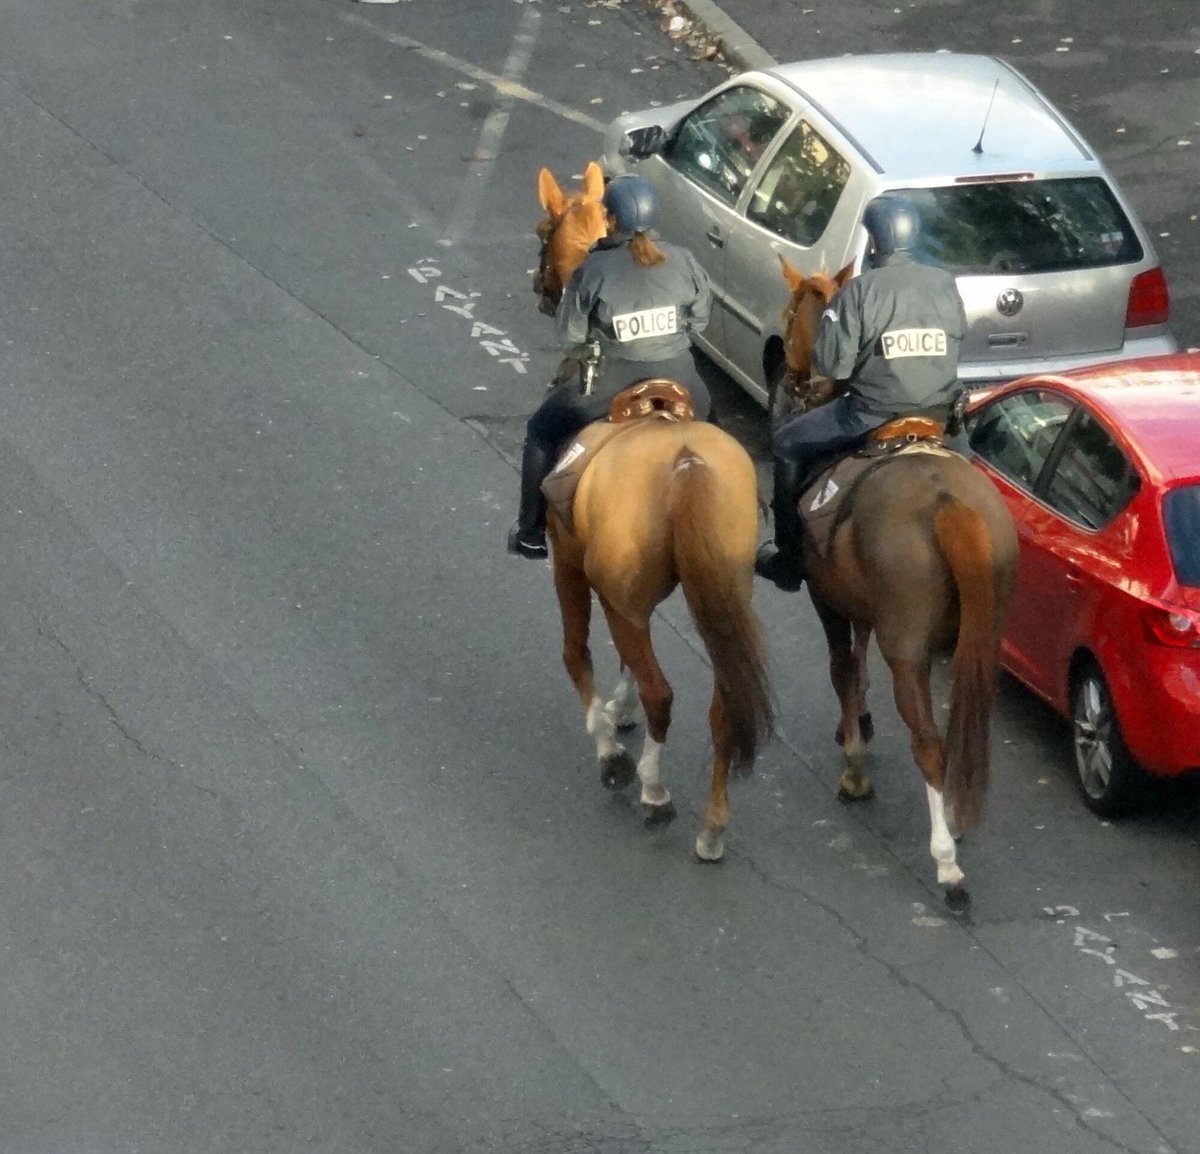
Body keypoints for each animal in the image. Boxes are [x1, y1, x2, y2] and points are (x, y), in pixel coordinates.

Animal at [547, 410, 772, 858]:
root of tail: (686, 460)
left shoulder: (570, 566)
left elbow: (576, 652)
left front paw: (610, 751)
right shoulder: (631, 604)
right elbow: (625, 660)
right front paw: (621, 710)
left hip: (617, 598)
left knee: (660, 694)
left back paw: (653, 792)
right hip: (722, 600)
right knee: (723, 710)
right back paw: (712, 830)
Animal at [772, 256, 1017, 902]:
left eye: (790, 311)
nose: (790, 378)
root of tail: (947, 502)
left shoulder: (826, 599)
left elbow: (842, 667)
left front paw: (855, 765)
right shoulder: (857, 601)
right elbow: (855, 665)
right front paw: (856, 723)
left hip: (907, 650)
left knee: (929, 742)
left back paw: (947, 862)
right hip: (975, 638)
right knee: (960, 729)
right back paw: (956, 816)